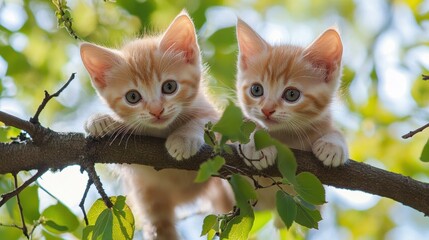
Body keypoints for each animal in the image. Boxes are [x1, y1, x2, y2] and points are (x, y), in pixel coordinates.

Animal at [80, 11, 234, 240]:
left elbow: (202, 122)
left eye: (169, 87)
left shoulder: (214, 116)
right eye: (132, 97)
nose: (156, 110)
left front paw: (183, 138)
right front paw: (102, 121)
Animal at [234, 18, 348, 171]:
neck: (286, 136)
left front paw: (333, 143)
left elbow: (334, 131)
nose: (267, 110)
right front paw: (255, 143)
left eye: (292, 94)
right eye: (256, 90)